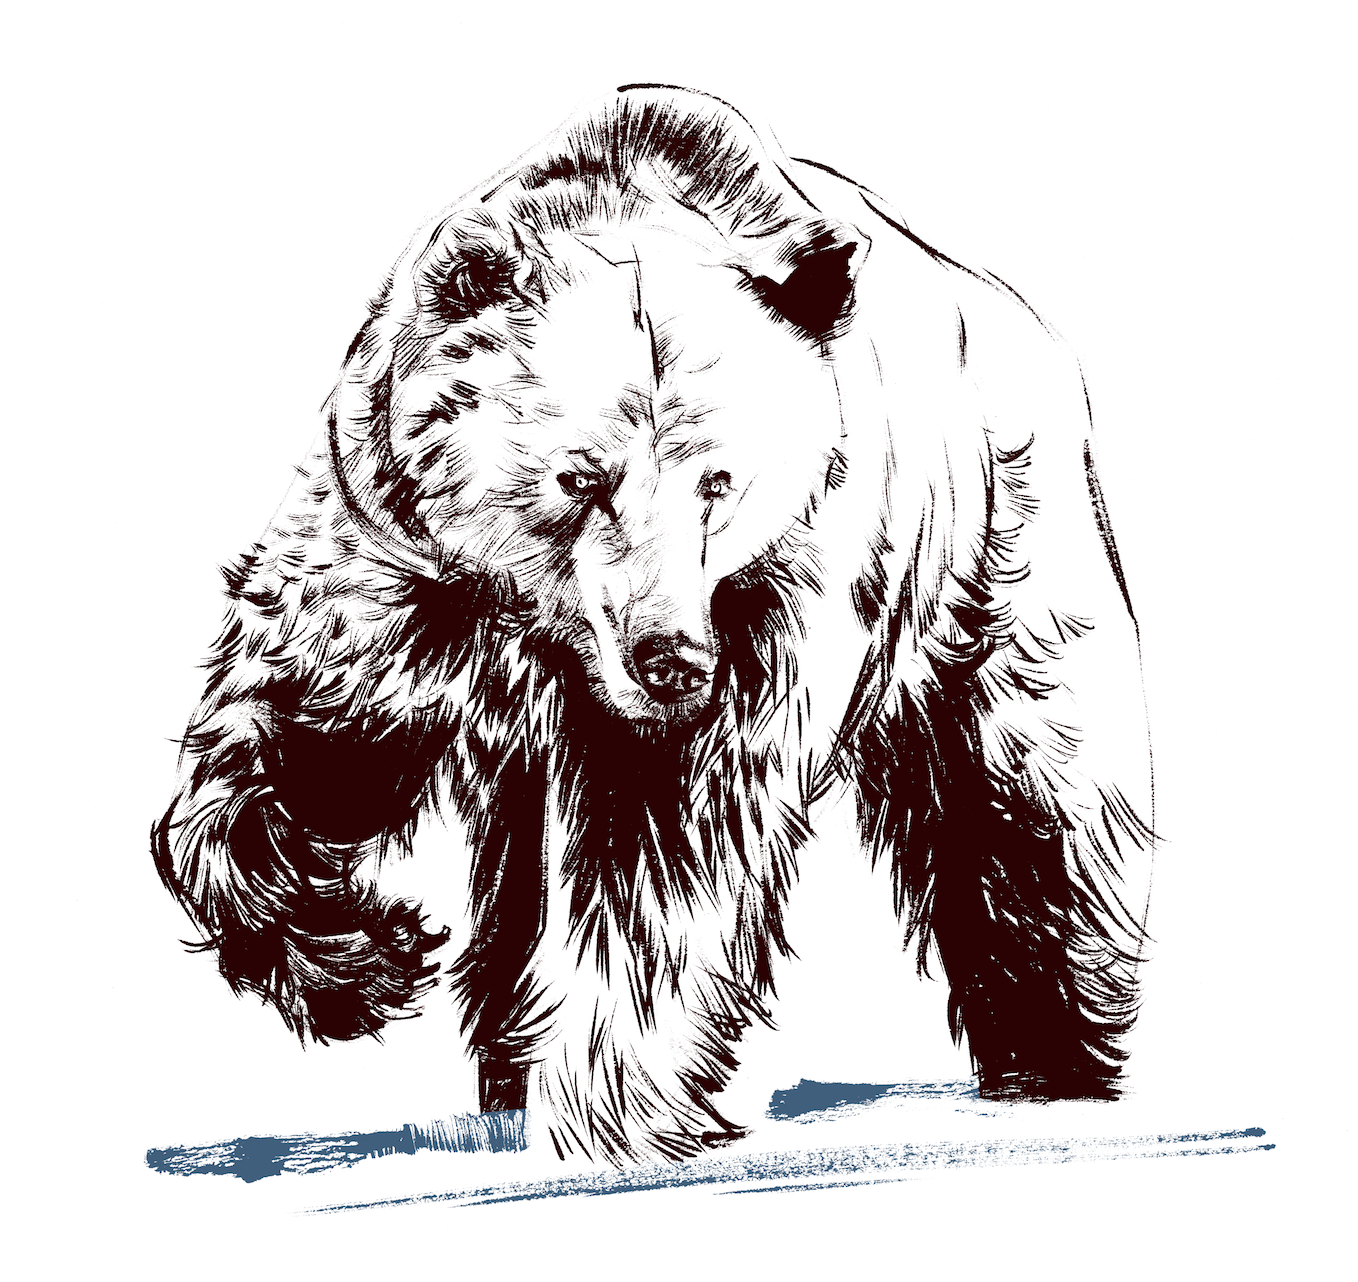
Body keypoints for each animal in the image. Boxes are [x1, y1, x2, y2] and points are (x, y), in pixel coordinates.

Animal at [152, 84, 1155, 1165]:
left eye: (719, 479)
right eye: (579, 474)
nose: (669, 659)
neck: (547, 620)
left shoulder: (765, 608)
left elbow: (665, 866)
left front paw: (608, 1121)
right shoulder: (401, 559)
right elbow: (291, 745)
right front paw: (369, 957)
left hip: (996, 549)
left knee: (1033, 802)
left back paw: (1057, 1052)